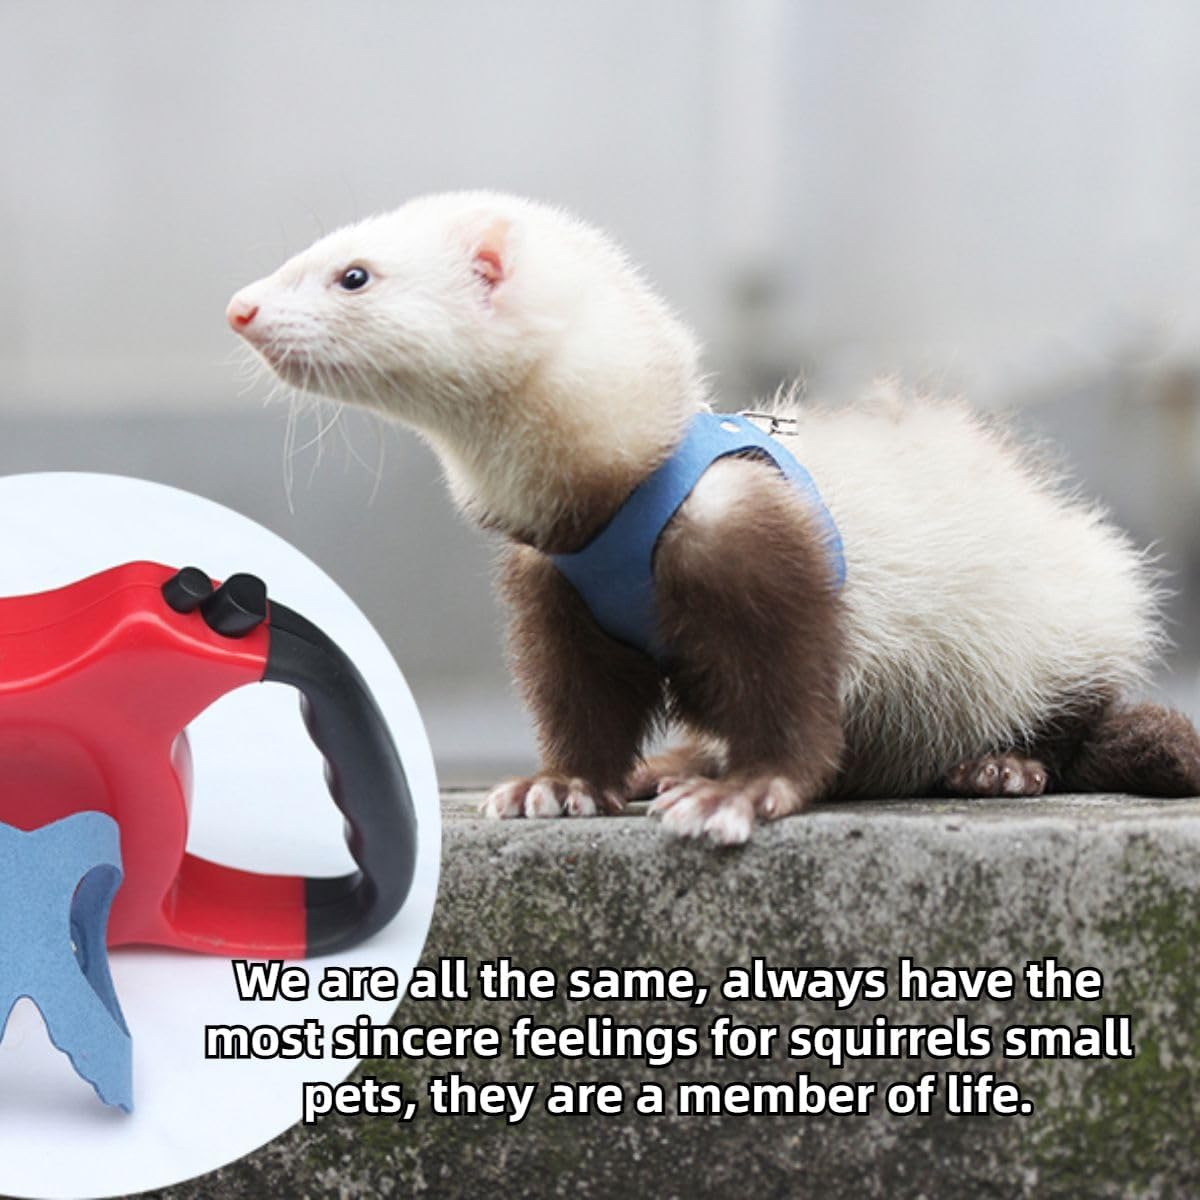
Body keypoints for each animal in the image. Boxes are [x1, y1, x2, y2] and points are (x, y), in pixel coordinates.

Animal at [227, 190, 1200, 843]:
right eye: (323, 245)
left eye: (354, 274)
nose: (239, 304)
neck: (608, 510)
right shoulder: (554, 600)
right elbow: (579, 706)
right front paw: (561, 785)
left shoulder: (758, 556)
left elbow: (789, 700)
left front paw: (742, 792)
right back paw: (671, 766)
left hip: (1073, 616)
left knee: (1080, 721)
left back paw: (998, 765)